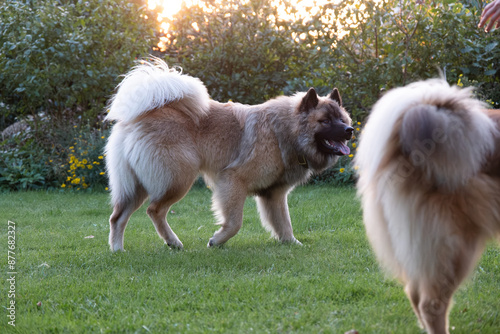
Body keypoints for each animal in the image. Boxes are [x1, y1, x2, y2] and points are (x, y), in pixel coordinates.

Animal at [105, 58, 354, 250]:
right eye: (325, 121)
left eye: (342, 119)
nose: (350, 130)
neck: (284, 131)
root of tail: (141, 116)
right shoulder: (233, 180)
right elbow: (235, 222)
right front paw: (217, 240)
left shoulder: (274, 194)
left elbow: (284, 222)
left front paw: (292, 243)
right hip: (178, 178)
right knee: (154, 210)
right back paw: (173, 242)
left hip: (135, 185)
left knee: (118, 217)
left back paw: (118, 250)